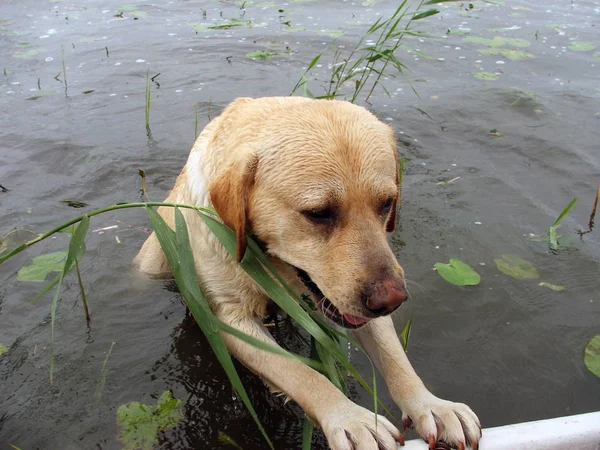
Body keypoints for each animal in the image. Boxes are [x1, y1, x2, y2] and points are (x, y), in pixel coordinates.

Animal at [134, 97, 480, 450]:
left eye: (386, 203)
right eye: (318, 213)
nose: (392, 301)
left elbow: (395, 358)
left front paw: (432, 405)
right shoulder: (229, 319)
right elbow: (302, 374)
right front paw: (351, 419)